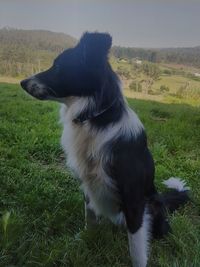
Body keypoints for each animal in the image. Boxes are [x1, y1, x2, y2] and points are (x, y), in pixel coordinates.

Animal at [21, 32, 190, 266]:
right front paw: (85, 240)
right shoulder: (87, 184)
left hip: (153, 209)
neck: (95, 117)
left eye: (58, 66)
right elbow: (90, 217)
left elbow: (137, 248)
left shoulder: (134, 199)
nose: (22, 82)